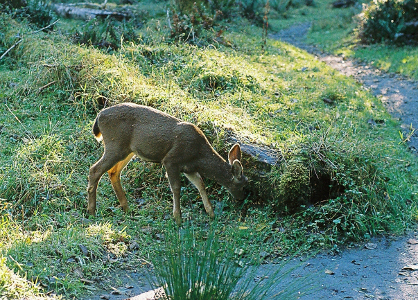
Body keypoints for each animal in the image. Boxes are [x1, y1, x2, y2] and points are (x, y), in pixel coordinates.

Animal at [86, 102, 247, 224]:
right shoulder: (171, 160)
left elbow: (200, 184)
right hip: (116, 145)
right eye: (244, 185)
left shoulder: (189, 168)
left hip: (127, 150)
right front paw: (178, 218)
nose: (242, 199)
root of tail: (99, 116)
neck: (198, 154)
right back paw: (92, 211)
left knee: (113, 172)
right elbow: (176, 187)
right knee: (95, 169)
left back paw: (126, 208)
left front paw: (211, 213)